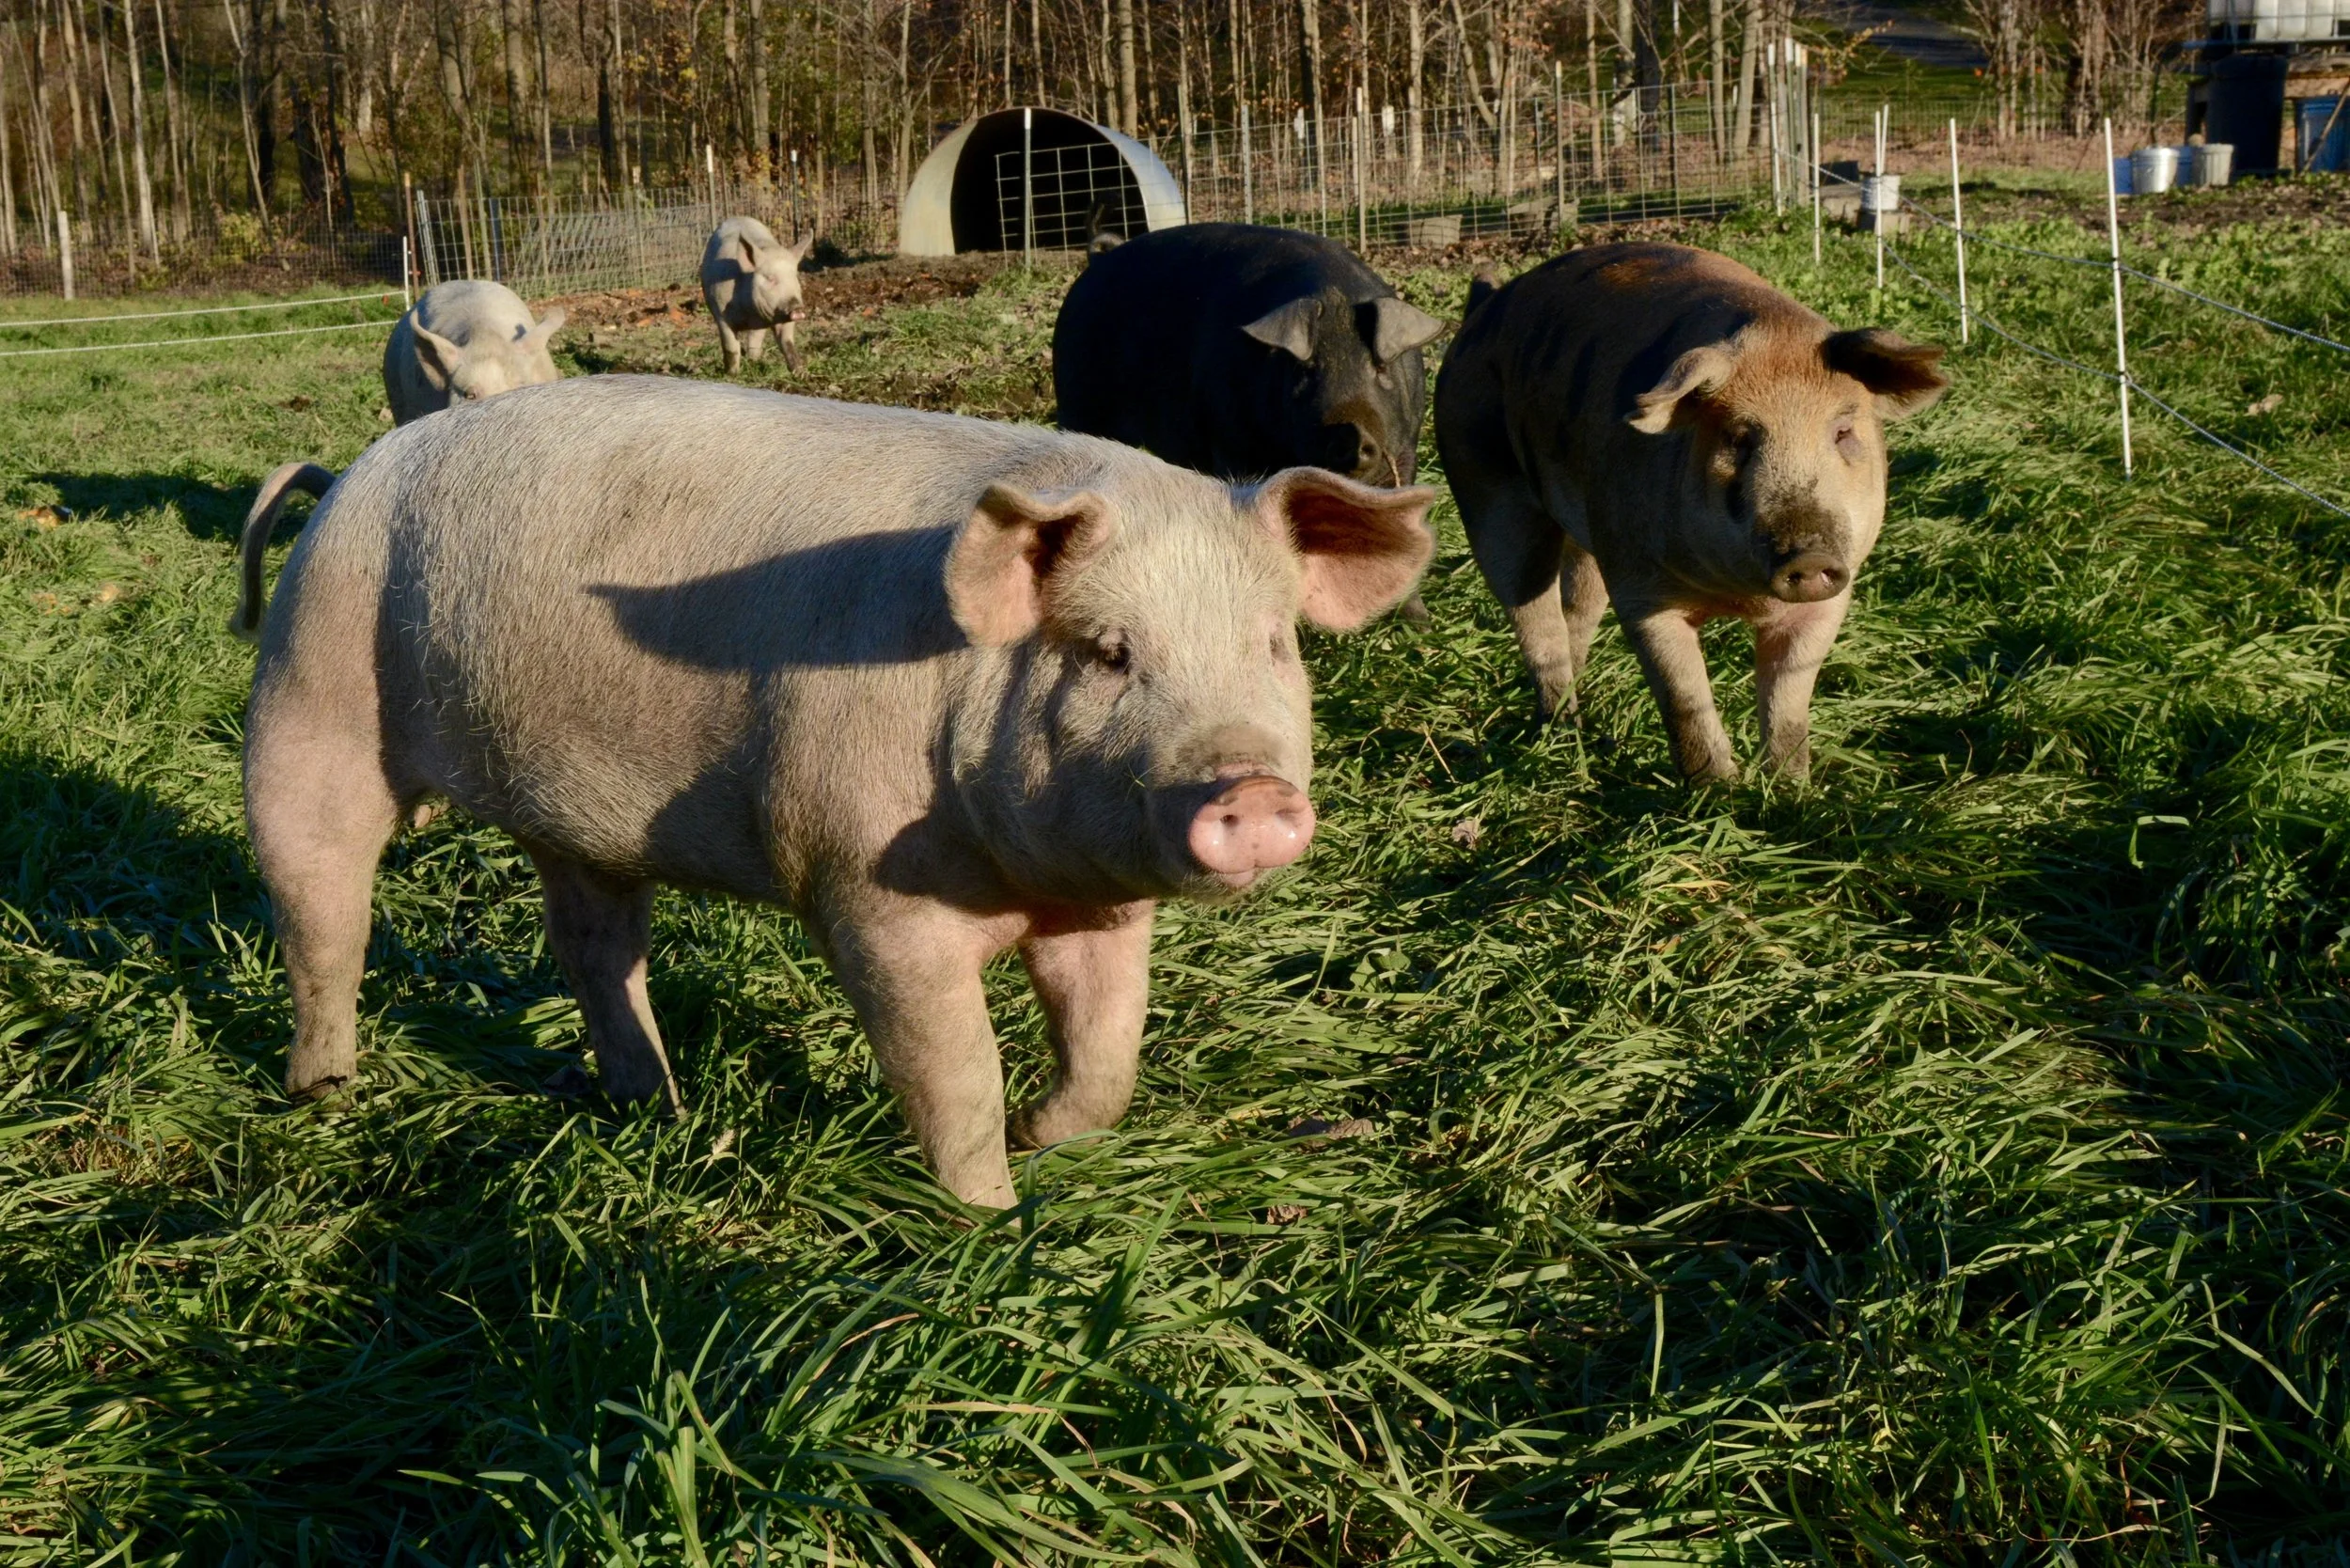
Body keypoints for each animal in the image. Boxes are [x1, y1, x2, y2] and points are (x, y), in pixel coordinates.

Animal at [235, 376, 1434, 1208]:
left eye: (1272, 643)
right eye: (1107, 653)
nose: (1251, 789)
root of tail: (345, 477)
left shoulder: (1101, 899)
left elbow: (1109, 1053)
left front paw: (1047, 1141)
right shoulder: (863, 889)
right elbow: (956, 1075)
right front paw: (993, 1220)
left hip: (573, 818)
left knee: (593, 946)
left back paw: (658, 1104)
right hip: (308, 694)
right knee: (322, 914)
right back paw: (326, 1096)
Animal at [701, 216, 814, 374]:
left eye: (794, 277)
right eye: (770, 278)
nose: (797, 308)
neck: (750, 311)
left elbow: (787, 343)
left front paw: (801, 374)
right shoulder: (721, 313)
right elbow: (731, 347)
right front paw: (733, 375)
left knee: (755, 343)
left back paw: (754, 362)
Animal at [1433, 244, 1947, 781]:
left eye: (1843, 432)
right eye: (1739, 438)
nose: (1808, 557)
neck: (1740, 596)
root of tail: (1484, 306)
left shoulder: (1832, 597)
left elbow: (1789, 705)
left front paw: (1792, 789)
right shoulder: (1640, 587)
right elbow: (1684, 697)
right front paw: (1718, 789)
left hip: (1590, 534)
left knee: (1575, 612)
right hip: (1485, 490)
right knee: (1535, 620)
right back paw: (1560, 734)